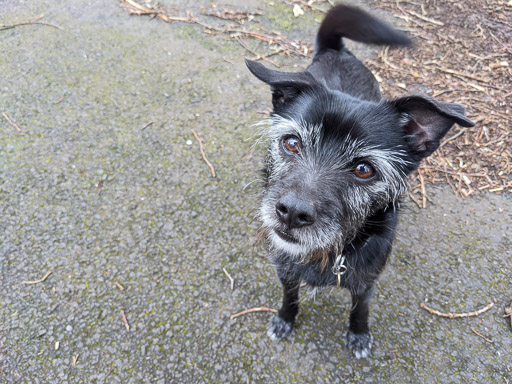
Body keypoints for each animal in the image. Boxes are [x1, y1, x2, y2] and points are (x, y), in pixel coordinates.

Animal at [246, 4, 474, 360]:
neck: (329, 252)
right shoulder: (284, 269)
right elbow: (290, 296)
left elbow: (359, 310)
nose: (292, 212)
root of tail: (336, 50)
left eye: (365, 169)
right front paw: (285, 318)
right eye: (292, 143)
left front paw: (358, 334)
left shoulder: (366, 283)